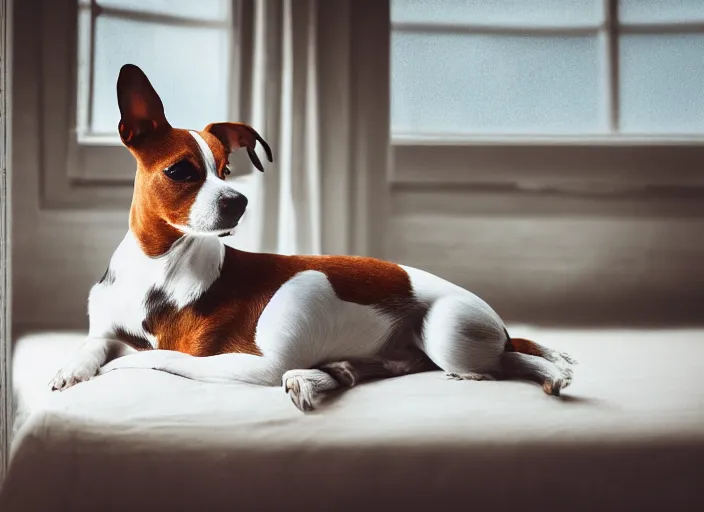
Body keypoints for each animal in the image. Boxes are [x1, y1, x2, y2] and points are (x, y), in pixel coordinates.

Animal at [51, 64, 576, 412]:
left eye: (226, 170)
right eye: (181, 171)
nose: (238, 202)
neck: (158, 267)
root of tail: (500, 324)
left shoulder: (219, 358)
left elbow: (144, 355)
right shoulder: (104, 327)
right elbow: (98, 343)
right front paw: (72, 367)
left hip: (444, 332)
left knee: (498, 363)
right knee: (402, 365)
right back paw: (333, 372)